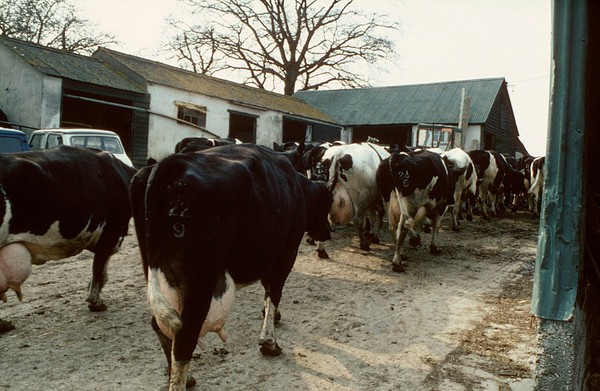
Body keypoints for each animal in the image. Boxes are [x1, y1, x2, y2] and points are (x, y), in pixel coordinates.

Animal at [129, 145, 332, 391]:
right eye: (328, 202)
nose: (328, 232)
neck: (297, 186)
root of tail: (169, 164)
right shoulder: (287, 251)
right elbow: (274, 290)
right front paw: (269, 342)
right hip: (201, 279)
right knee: (185, 338)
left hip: (155, 271)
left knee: (161, 327)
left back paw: (187, 377)